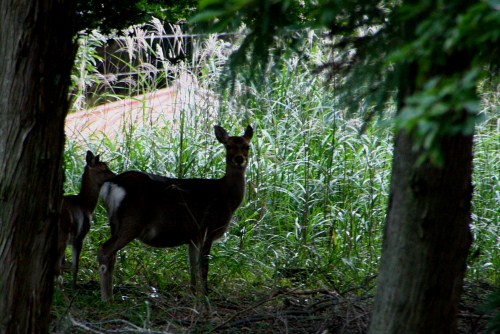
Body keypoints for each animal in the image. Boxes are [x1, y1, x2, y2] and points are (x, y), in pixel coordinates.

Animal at [57, 150, 115, 286]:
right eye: (104, 169)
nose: (116, 176)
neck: (86, 206)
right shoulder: (80, 236)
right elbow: (75, 267)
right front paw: (73, 287)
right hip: (62, 235)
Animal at [97, 124, 254, 302]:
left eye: (247, 146)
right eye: (228, 146)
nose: (239, 159)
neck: (225, 196)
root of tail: (111, 184)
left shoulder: (193, 237)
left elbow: (193, 269)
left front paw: (193, 295)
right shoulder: (206, 230)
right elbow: (203, 270)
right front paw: (205, 298)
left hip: (115, 223)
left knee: (112, 256)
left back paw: (110, 296)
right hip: (131, 221)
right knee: (104, 250)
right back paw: (106, 299)